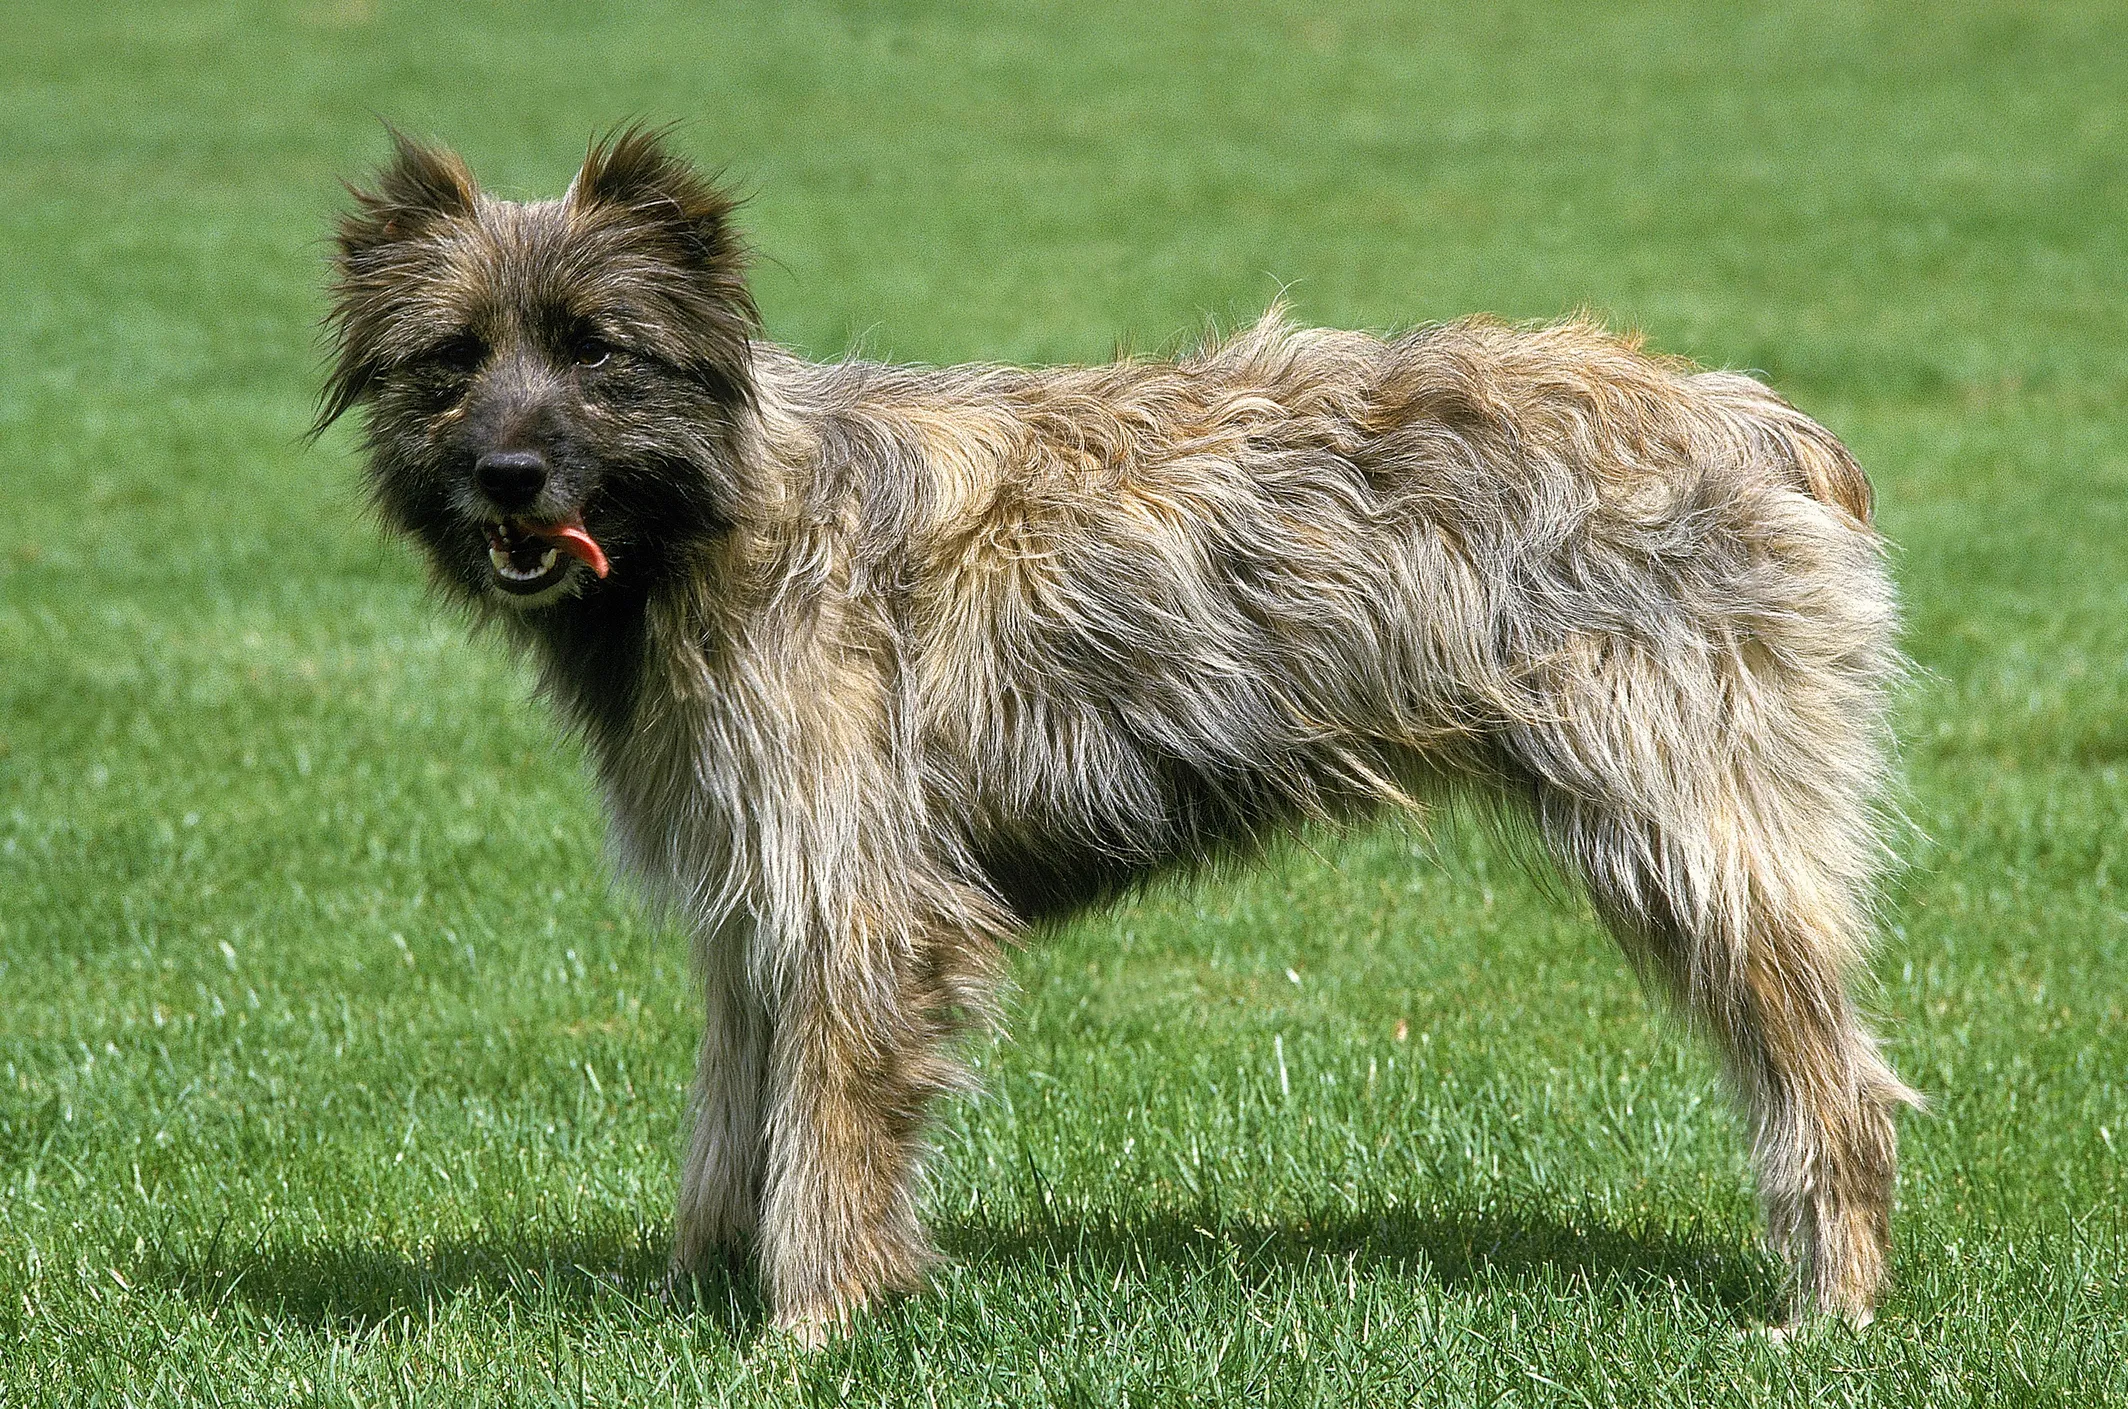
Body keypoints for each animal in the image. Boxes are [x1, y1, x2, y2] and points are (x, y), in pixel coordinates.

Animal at [323, 127, 1923, 1345]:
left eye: (597, 350)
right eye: (451, 358)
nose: (507, 473)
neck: (729, 514)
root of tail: (1763, 426)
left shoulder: (861, 897)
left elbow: (828, 1137)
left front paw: (806, 1328)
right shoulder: (753, 902)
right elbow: (739, 1119)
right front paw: (696, 1293)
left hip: (1695, 839)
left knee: (1834, 1086)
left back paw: (1827, 1310)